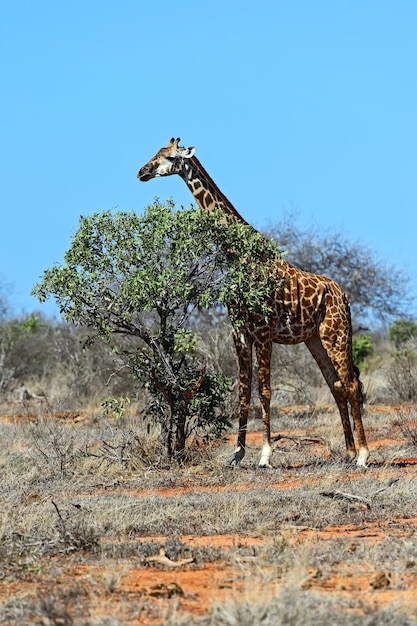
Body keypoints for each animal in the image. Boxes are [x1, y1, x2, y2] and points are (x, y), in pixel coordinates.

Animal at [136, 139, 368, 466]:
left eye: (168, 157)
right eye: (154, 154)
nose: (142, 172)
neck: (238, 257)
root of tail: (344, 294)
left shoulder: (264, 332)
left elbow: (265, 391)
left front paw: (266, 454)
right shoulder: (240, 332)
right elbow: (244, 392)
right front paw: (237, 453)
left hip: (337, 334)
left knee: (350, 382)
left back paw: (363, 455)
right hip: (314, 339)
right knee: (335, 384)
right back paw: (348, 452)